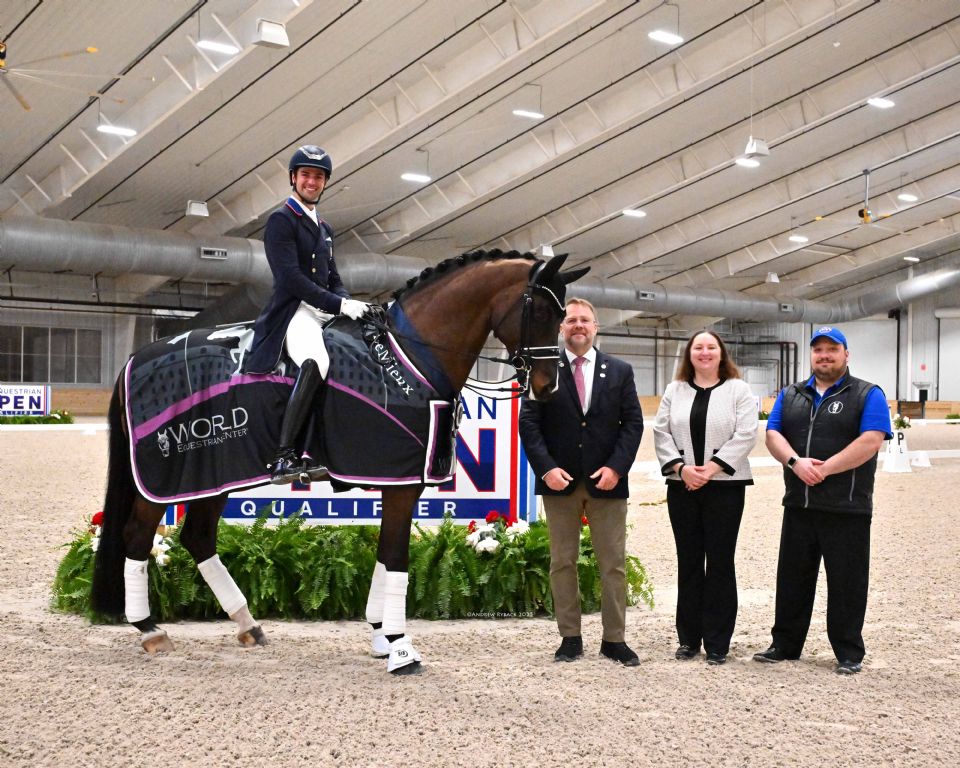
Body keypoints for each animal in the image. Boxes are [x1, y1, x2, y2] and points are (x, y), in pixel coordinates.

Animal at [91, 249, 588, 674]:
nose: (548, 387)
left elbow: (384, 560)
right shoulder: (401, 481)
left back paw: (248, 625)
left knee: (197, 538)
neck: (411, 357)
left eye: (564, 316)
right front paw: (401, 650)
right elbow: (397, 560)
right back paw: (150, 630)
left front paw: (382, 637)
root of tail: (135, 359)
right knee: (138, 536)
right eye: (541, 313)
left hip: (215, 474)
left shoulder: (399, 483)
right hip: (167, 477)